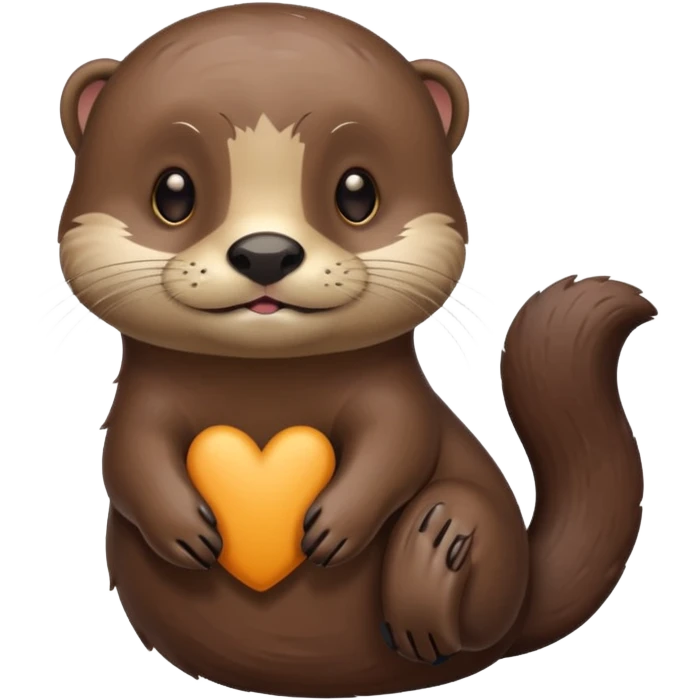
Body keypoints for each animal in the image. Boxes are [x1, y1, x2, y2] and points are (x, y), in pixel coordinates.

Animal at [58, 4, 655, 697]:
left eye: (357, 192)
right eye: (173, 192)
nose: (266, 251)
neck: (267, 383)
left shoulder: (394, 396)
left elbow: (399, 443)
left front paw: (336, 526)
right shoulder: (141, 401)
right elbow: (127, 453)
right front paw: (182, 528)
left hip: (486, 553)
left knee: (464, 542)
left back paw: (432, 567)